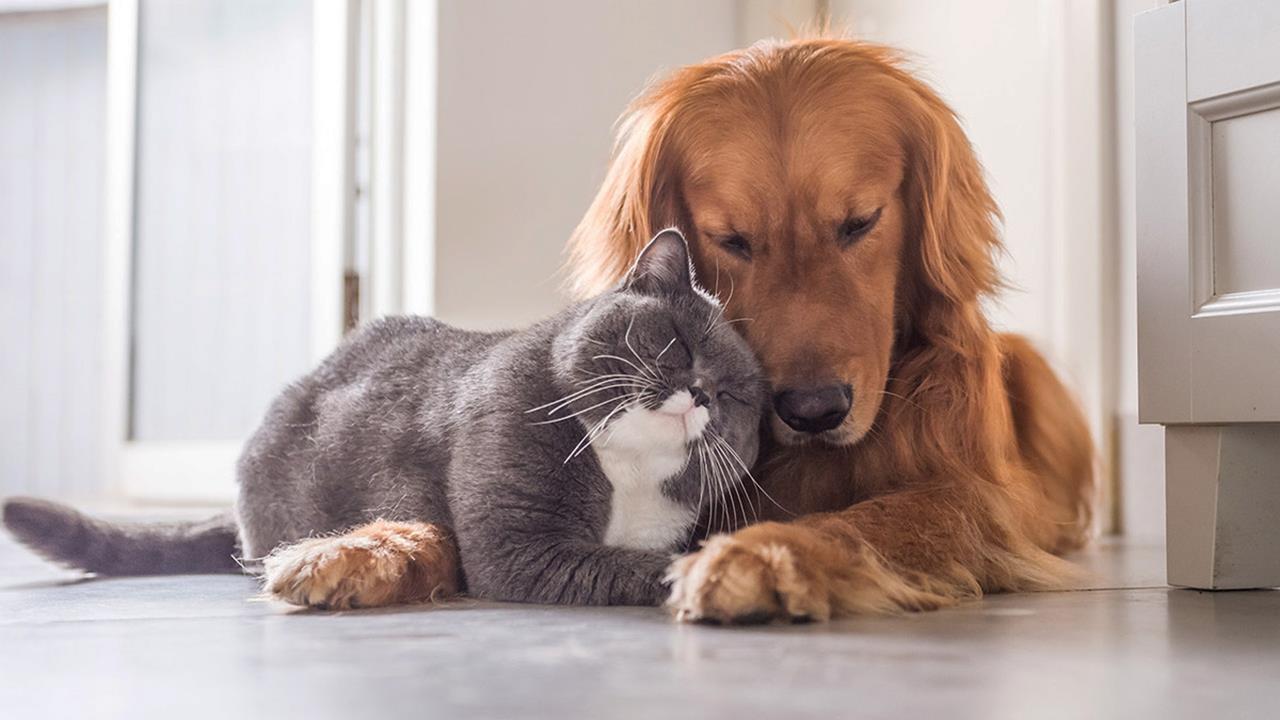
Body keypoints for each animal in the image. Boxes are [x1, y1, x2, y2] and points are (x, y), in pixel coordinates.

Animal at [0, 228, 762, 604]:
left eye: (734, 396)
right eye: (677, 343)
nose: (699, 392)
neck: (625, 473)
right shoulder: (519, 543)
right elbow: (634, 565)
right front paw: (708, 574)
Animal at [565, 36, 1095, 620]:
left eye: (860, 223)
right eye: (732, 240)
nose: (813, 411)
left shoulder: (974, 494)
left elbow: (870, 520)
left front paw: (762, 554)